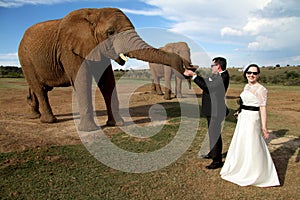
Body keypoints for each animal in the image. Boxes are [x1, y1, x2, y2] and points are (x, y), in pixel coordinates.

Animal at [18, 7, 190, 131]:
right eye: (110, 32)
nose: (185, 65)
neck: (93, 12)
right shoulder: (69, 50)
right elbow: (82, 80)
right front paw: (89, 130)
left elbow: (107, 82)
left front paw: (116, 124)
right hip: (26, 59)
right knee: (39, 88)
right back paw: (48, 121)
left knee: (38, 88)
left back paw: (34, 115)